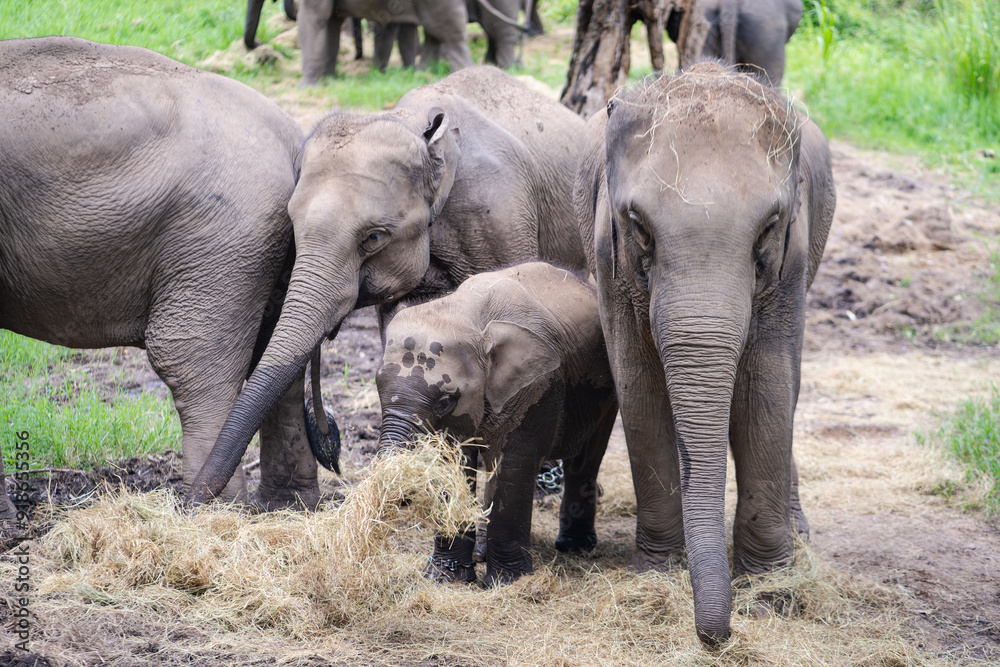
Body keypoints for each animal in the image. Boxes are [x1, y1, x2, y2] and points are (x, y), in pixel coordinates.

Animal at [0, 37, 335, 519]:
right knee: (274, 361)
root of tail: (296, 142)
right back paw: (284, 510)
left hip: (219, 235)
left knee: (193, 364)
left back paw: (209, 516)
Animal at [375, 262, 617, 586]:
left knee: (586, 458)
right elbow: (453, 462)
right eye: (377, 384)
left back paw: (574, 546)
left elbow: (511, 463)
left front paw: (508, 583)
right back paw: (482, 554)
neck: (470, 312)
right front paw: (446, 578)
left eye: (445, 401)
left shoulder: (538, 385)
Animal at [574, 63, 836, 643]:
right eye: (639, 227)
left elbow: (769, 388)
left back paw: (800, 533)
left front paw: (773, 593)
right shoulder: (610, 259)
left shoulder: (790, 262)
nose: (715, 638)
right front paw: (658, 575)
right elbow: (638, 386)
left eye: (769, 227)